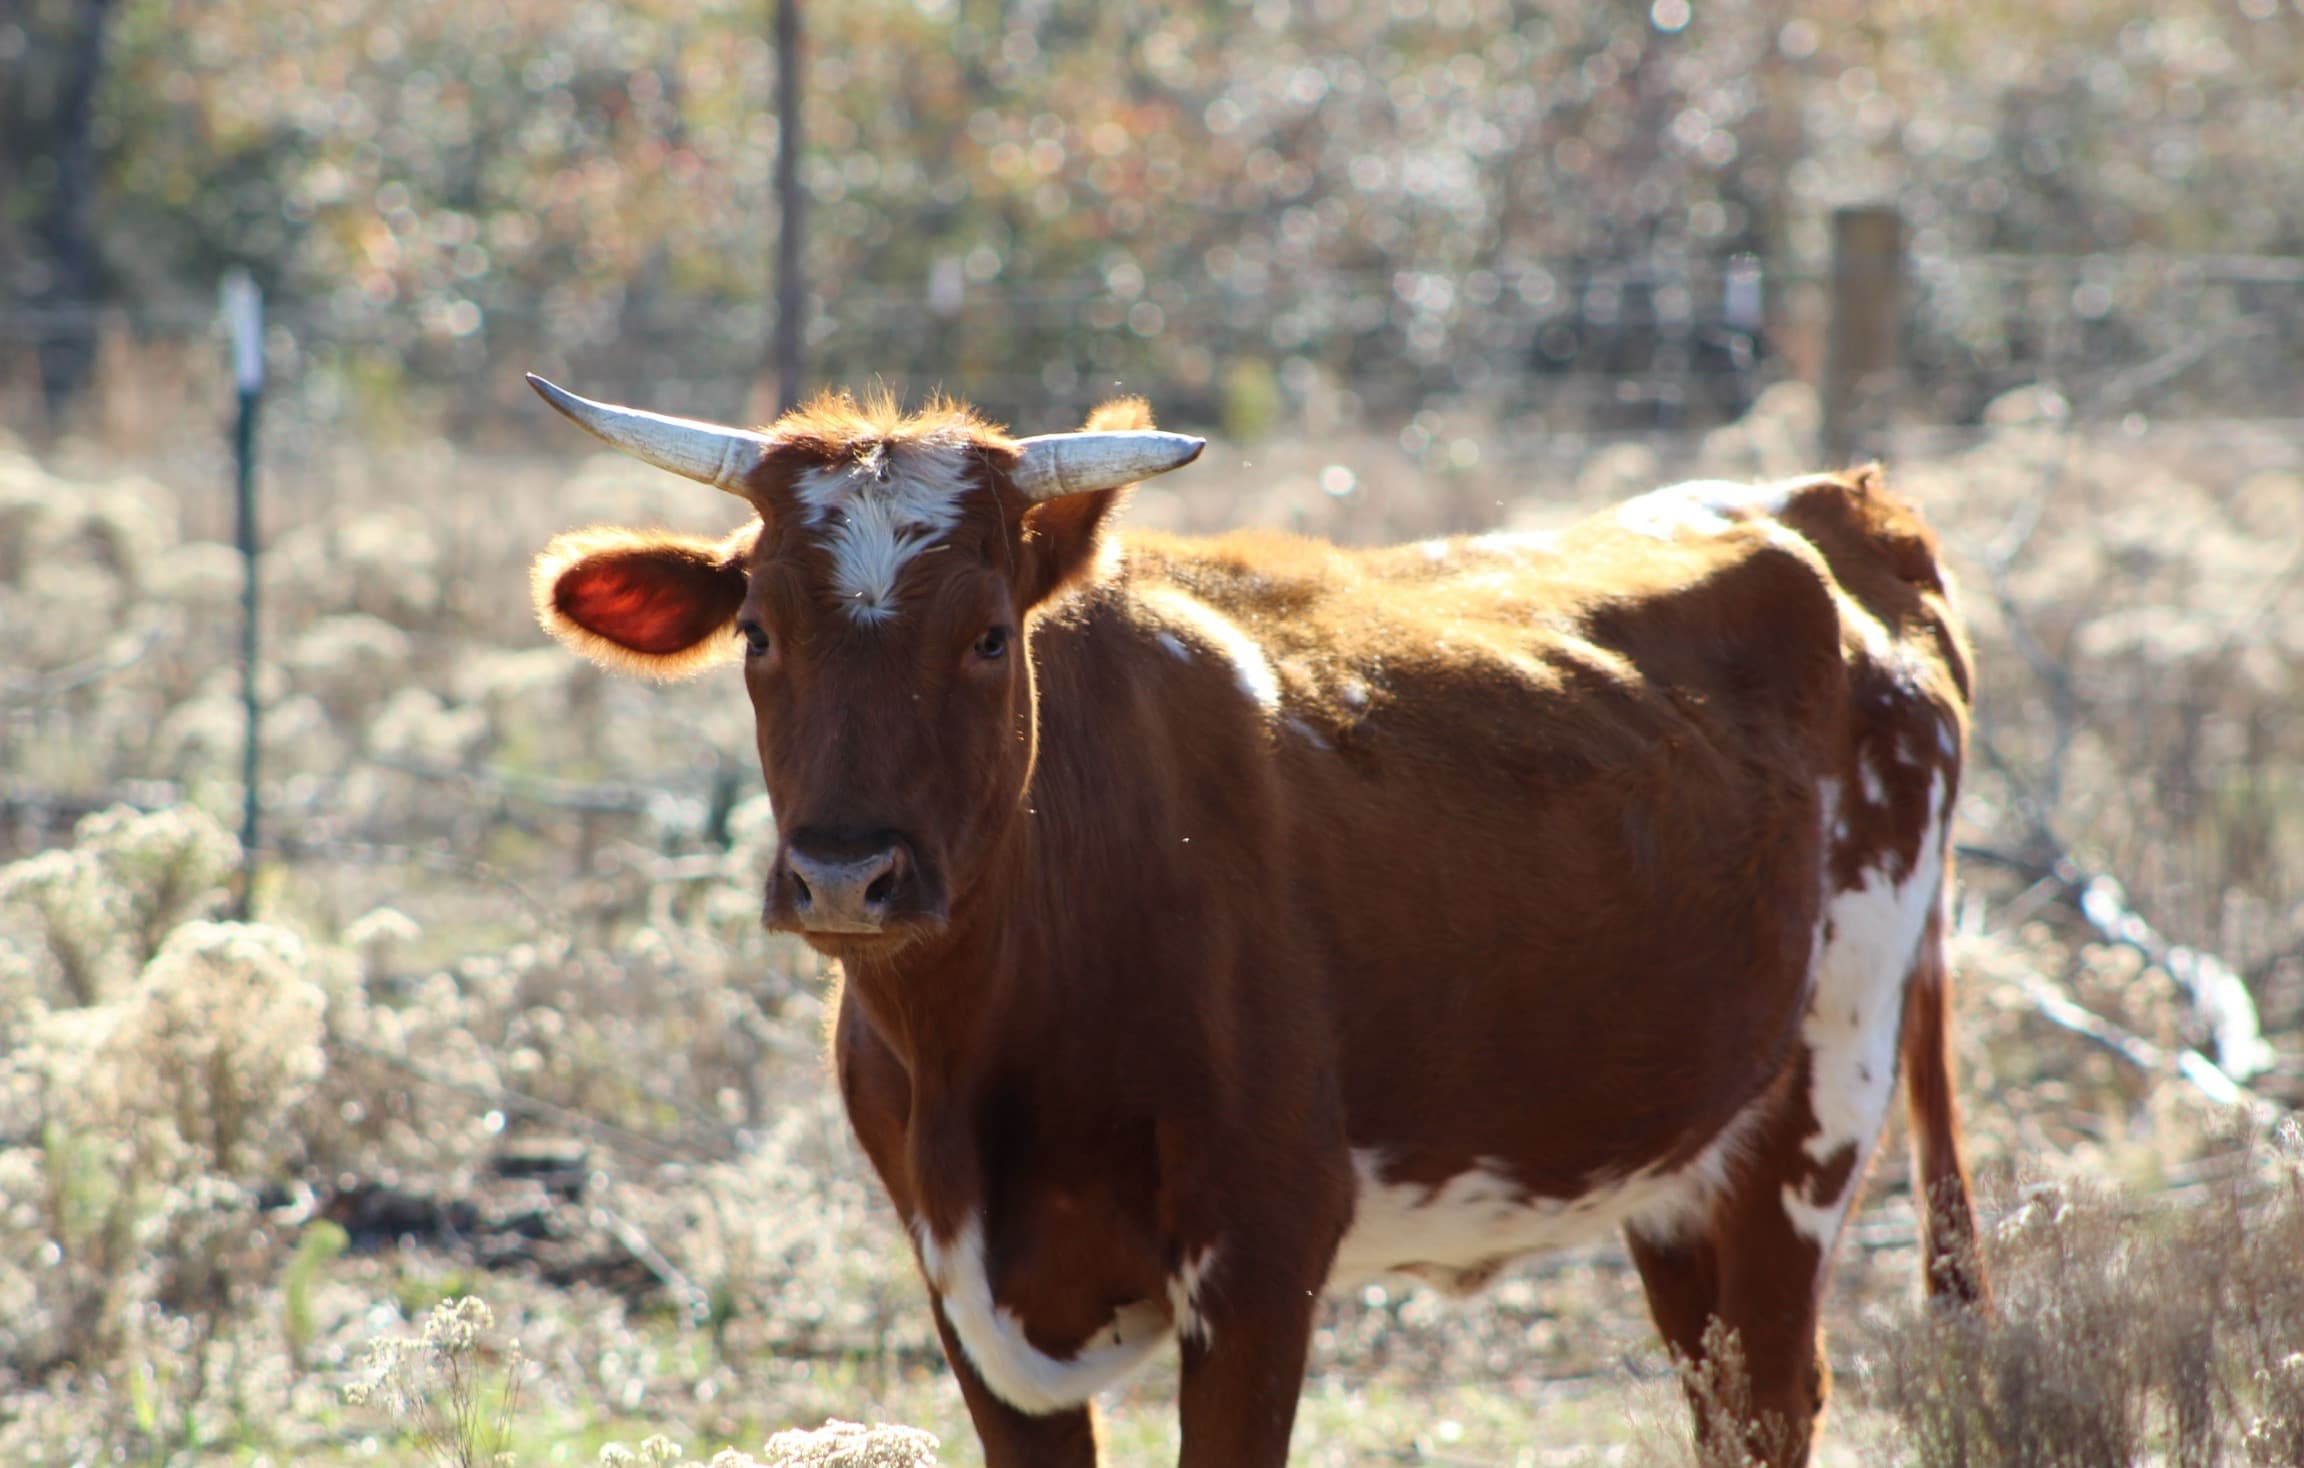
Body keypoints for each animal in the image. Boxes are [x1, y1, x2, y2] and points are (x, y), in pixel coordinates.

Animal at [522, 373, 1986, 1467]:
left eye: (990, 635)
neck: (985, 1036)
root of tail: (1824, 503)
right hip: (1677, 1166)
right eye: (758, 632)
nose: (843, 874)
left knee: (1773, 1399)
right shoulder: (966, 1290)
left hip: (1820, 1103)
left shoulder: (1266, 1249)